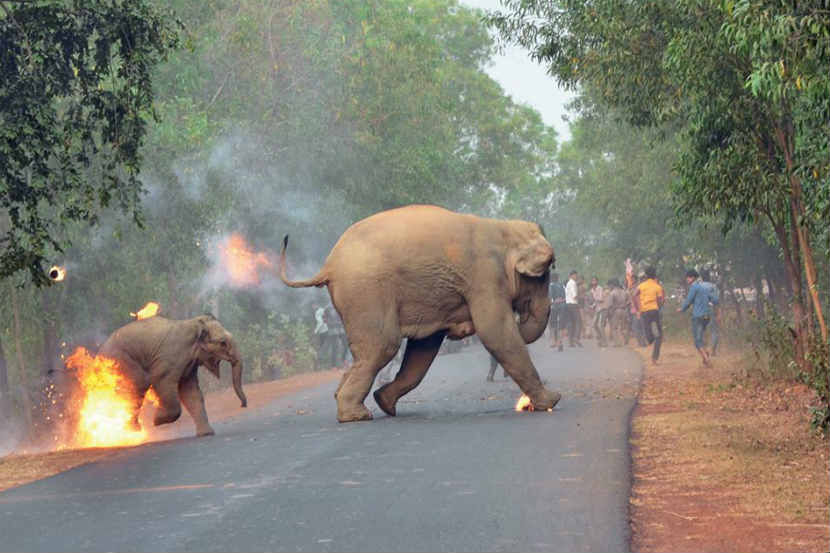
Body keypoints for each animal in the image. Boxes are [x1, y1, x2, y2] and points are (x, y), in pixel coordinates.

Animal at [98, 314, 247, 436]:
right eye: (223, 343)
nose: (242, 405)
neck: (194, 323)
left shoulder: (189, 365)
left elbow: (191, 392)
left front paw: (207, 434)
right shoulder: (170, 357)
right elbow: (161, 381)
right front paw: (156, 421)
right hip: (121, 360)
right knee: (138, 384)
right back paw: (132, 430)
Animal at [282, 205, 564, 420]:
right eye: (544, 275)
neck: (504, 228)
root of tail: (328, 266)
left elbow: (424, 347)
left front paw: (384, 401)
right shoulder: (485, 277)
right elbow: (495, 331)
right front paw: (552, 401)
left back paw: (361, 404)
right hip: (366, 291)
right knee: (383, 345)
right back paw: (356, 416)